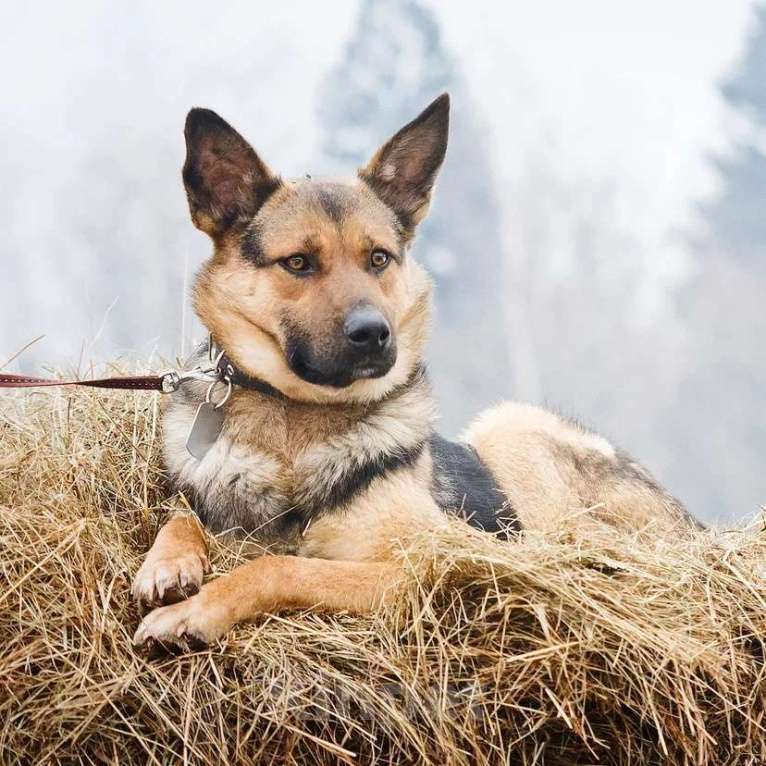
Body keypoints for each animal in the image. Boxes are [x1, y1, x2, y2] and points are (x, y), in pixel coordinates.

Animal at [132, 93, 696, 652]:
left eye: (379, 258)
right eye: (297, 263)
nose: (373, 333)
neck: (299, 418)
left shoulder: (426, 564)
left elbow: (281, 566)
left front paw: (195, 610)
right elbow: (181, 517)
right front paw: (168, 564)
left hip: (511, 427)